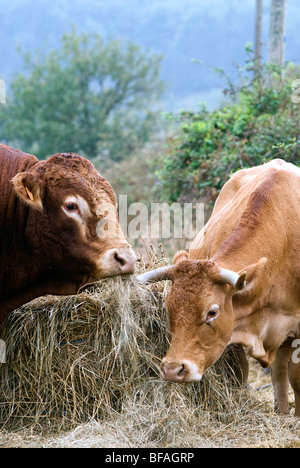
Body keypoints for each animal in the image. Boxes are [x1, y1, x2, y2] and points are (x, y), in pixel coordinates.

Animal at [139, 159, 300, 414]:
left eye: (212, 312)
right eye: (168, 308)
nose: (173, 369)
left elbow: (296, 378)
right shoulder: (234, 327)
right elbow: (240, 372)